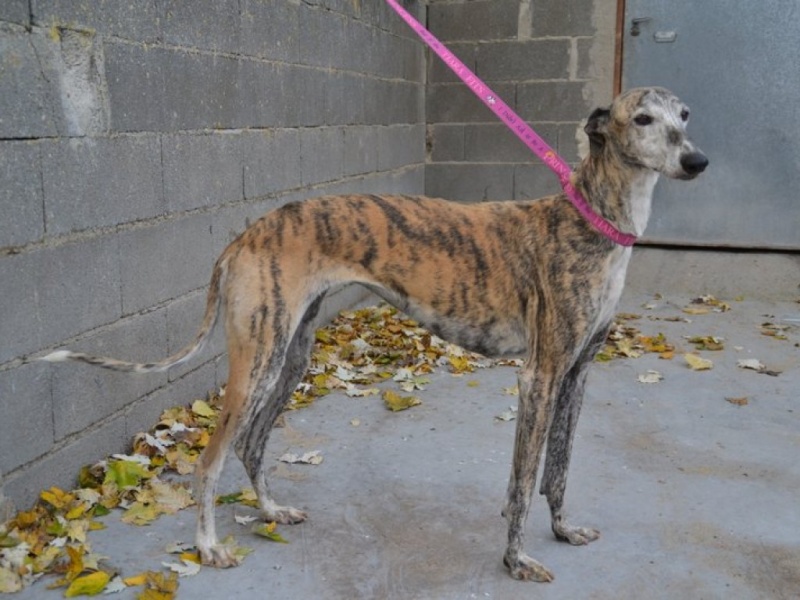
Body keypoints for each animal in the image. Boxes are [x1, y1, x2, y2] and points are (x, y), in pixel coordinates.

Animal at [42, 88, 708, 580]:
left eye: (684, 116)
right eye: (642, 118)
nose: (697, 162)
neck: (592, 219)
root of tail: (244, 236)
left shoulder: (577, 373)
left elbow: (558, 470)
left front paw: (564, 531)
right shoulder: (539, 377)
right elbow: (522, 482)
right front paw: (516, 559)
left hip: (292, 353)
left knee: (253, 444)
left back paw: (273, 510)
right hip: (257, 360)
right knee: (210, 460)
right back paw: (207, 547)